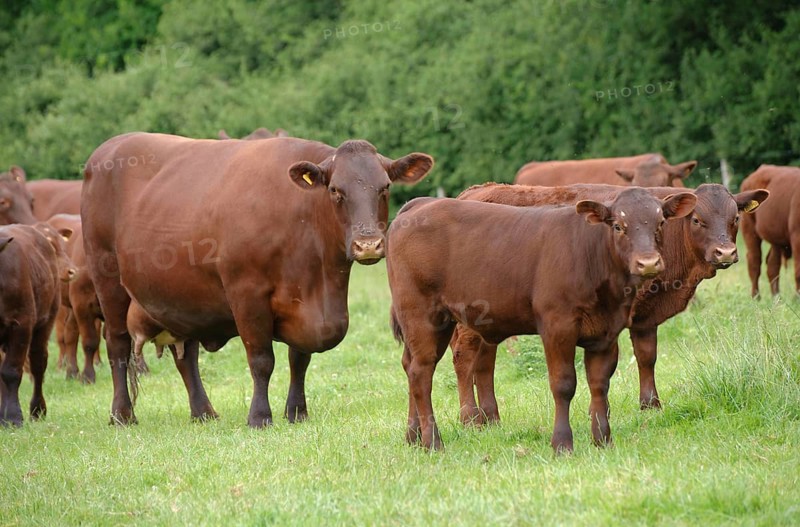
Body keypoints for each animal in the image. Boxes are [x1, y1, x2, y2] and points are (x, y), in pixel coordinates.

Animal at [0, 222, 76, 426]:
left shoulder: (21, 325)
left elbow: (11, 371)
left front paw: (13, 417)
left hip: (44, 324)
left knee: (38, 364)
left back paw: (37, 409)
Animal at [81, 132, 433, 426]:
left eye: (385, 187)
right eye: (336, 190)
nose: (368, 244)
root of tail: (108, 148)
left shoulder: (303, 305)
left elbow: (299, 358)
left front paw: (296, 411)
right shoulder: (247, 294)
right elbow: (262, 360)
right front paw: (260, 417)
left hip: (183, 294)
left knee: (186, 355)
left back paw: (203, 412)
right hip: (107, 278)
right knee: (117, 344)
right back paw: (122, 414)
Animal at [387, 188, 697, 452]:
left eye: (660, 223)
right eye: (618, 226)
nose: (649, 263)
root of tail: (421, 203)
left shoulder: (607, 332)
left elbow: (599, 384)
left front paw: (602, 440)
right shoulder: (557, 325)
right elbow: (563, 384)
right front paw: (562, 443)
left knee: (411, 367)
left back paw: (413, 436)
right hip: (422, 316)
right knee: (421, 373)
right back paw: (433, 442)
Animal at [450, 182, 769, 426]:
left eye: (735, 218)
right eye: (697, 220)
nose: (725, 252)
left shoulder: (645, 316)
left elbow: (647, 356)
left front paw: (650, 405)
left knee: (485, 361)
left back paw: (491, 417)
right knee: (465, 356)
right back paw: (470, 418)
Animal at [740, 165, 800, 297]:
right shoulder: (796, 236)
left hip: (775, 236)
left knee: (772, 265)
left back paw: (776, 297)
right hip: (749, 230)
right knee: (754, 261)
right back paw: (756, 297)